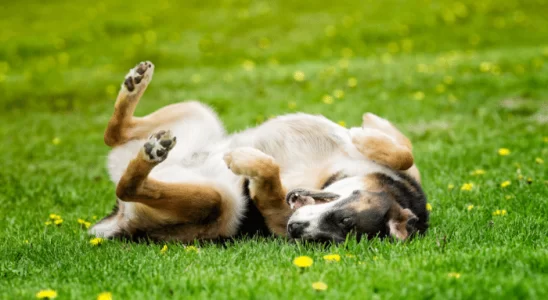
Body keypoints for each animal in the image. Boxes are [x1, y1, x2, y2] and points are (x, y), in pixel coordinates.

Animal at [90, 62, 430, 243]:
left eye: (326, 240)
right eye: (344, 218)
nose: (295, 229)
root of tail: (120, 221)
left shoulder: (276, 215)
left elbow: (269, 176)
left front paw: (247, 161)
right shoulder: (407, 167)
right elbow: (405, 151)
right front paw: (365, 132)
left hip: (219, 204)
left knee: (128, 184)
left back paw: (151, 155)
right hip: (199, 111)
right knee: (113, 134)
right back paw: (135, 84)